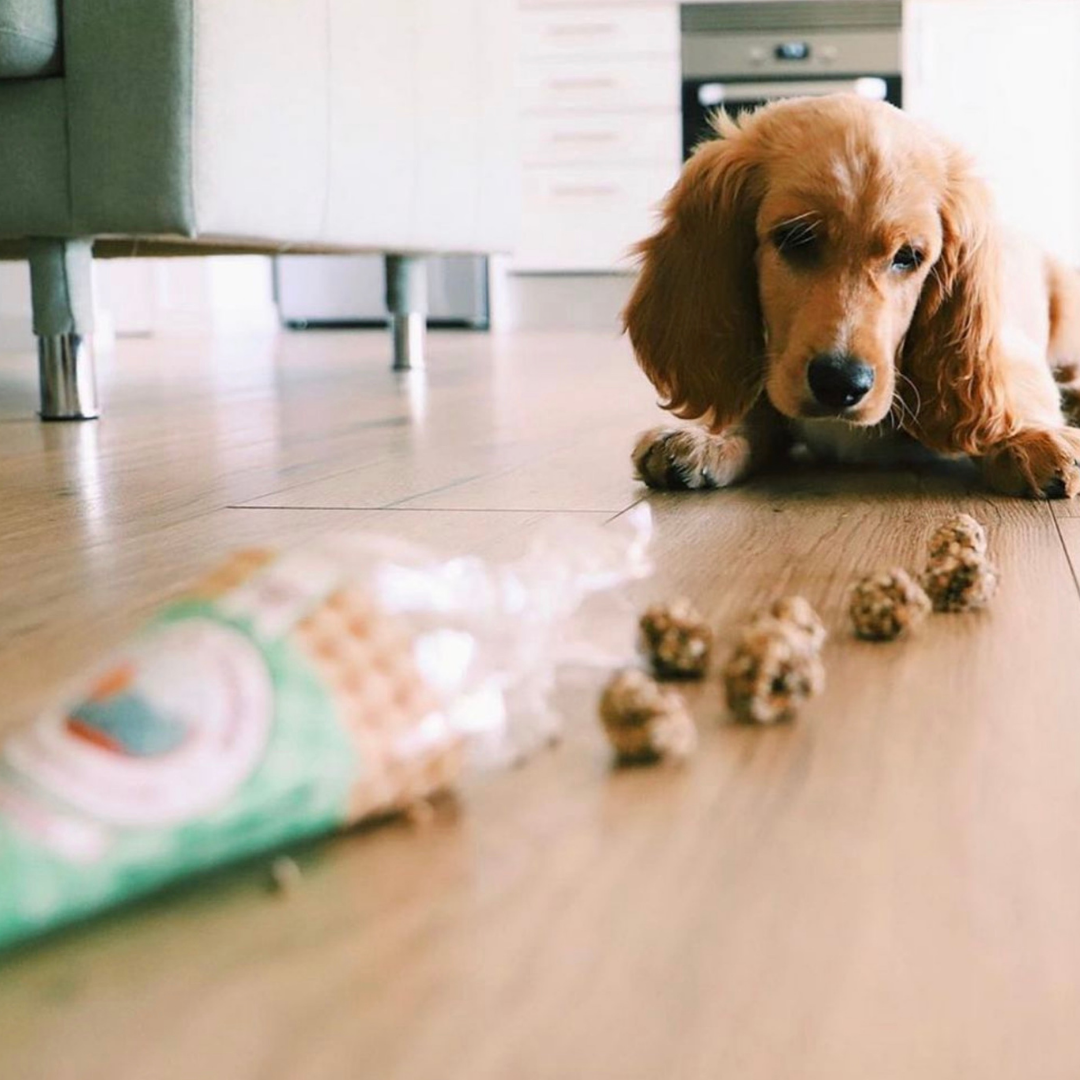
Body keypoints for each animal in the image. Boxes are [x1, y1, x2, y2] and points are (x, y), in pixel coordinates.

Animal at [626, 92, 1080, 496]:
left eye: (908, 256)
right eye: (796, 238)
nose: (840, 384)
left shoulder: (1008, 355)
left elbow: (1005, 397)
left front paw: (1031, 438)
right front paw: (706, 436)